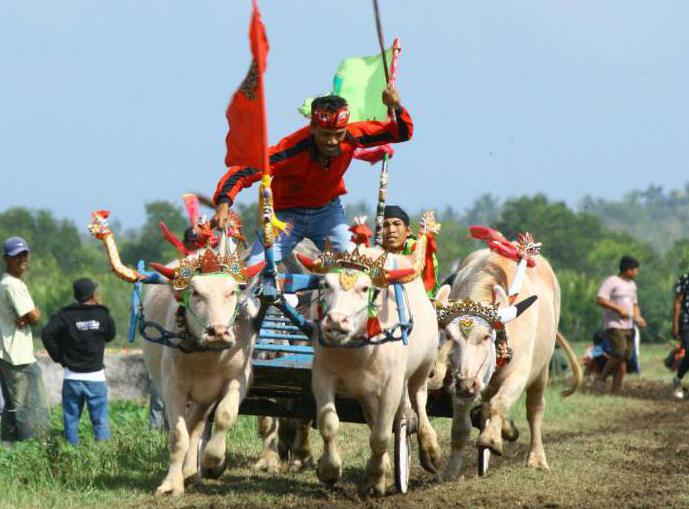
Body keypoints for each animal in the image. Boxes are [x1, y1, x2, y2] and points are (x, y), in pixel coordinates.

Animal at [300, 248, 440, 494]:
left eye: (365, 288)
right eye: (326, 284)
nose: (335, 322)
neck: (357, 350)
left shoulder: (393, 385)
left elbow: (382, 436)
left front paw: (374, 478)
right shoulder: (322, 376)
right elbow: (329, 424)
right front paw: (329, 470)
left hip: (422, 369)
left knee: (419, 403)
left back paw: (430, 451)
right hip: (367, 393)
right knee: (374, 419)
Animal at [432, 248, 576, 478]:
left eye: (485, 336)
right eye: (448, 336)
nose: (467, 384)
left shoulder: (519, 375)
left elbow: (499, 404)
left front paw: (491, 439)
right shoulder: (457, 384)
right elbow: (460, 428)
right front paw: (451, 471)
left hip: (543, 370)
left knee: (534, 409)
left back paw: (537, 458)